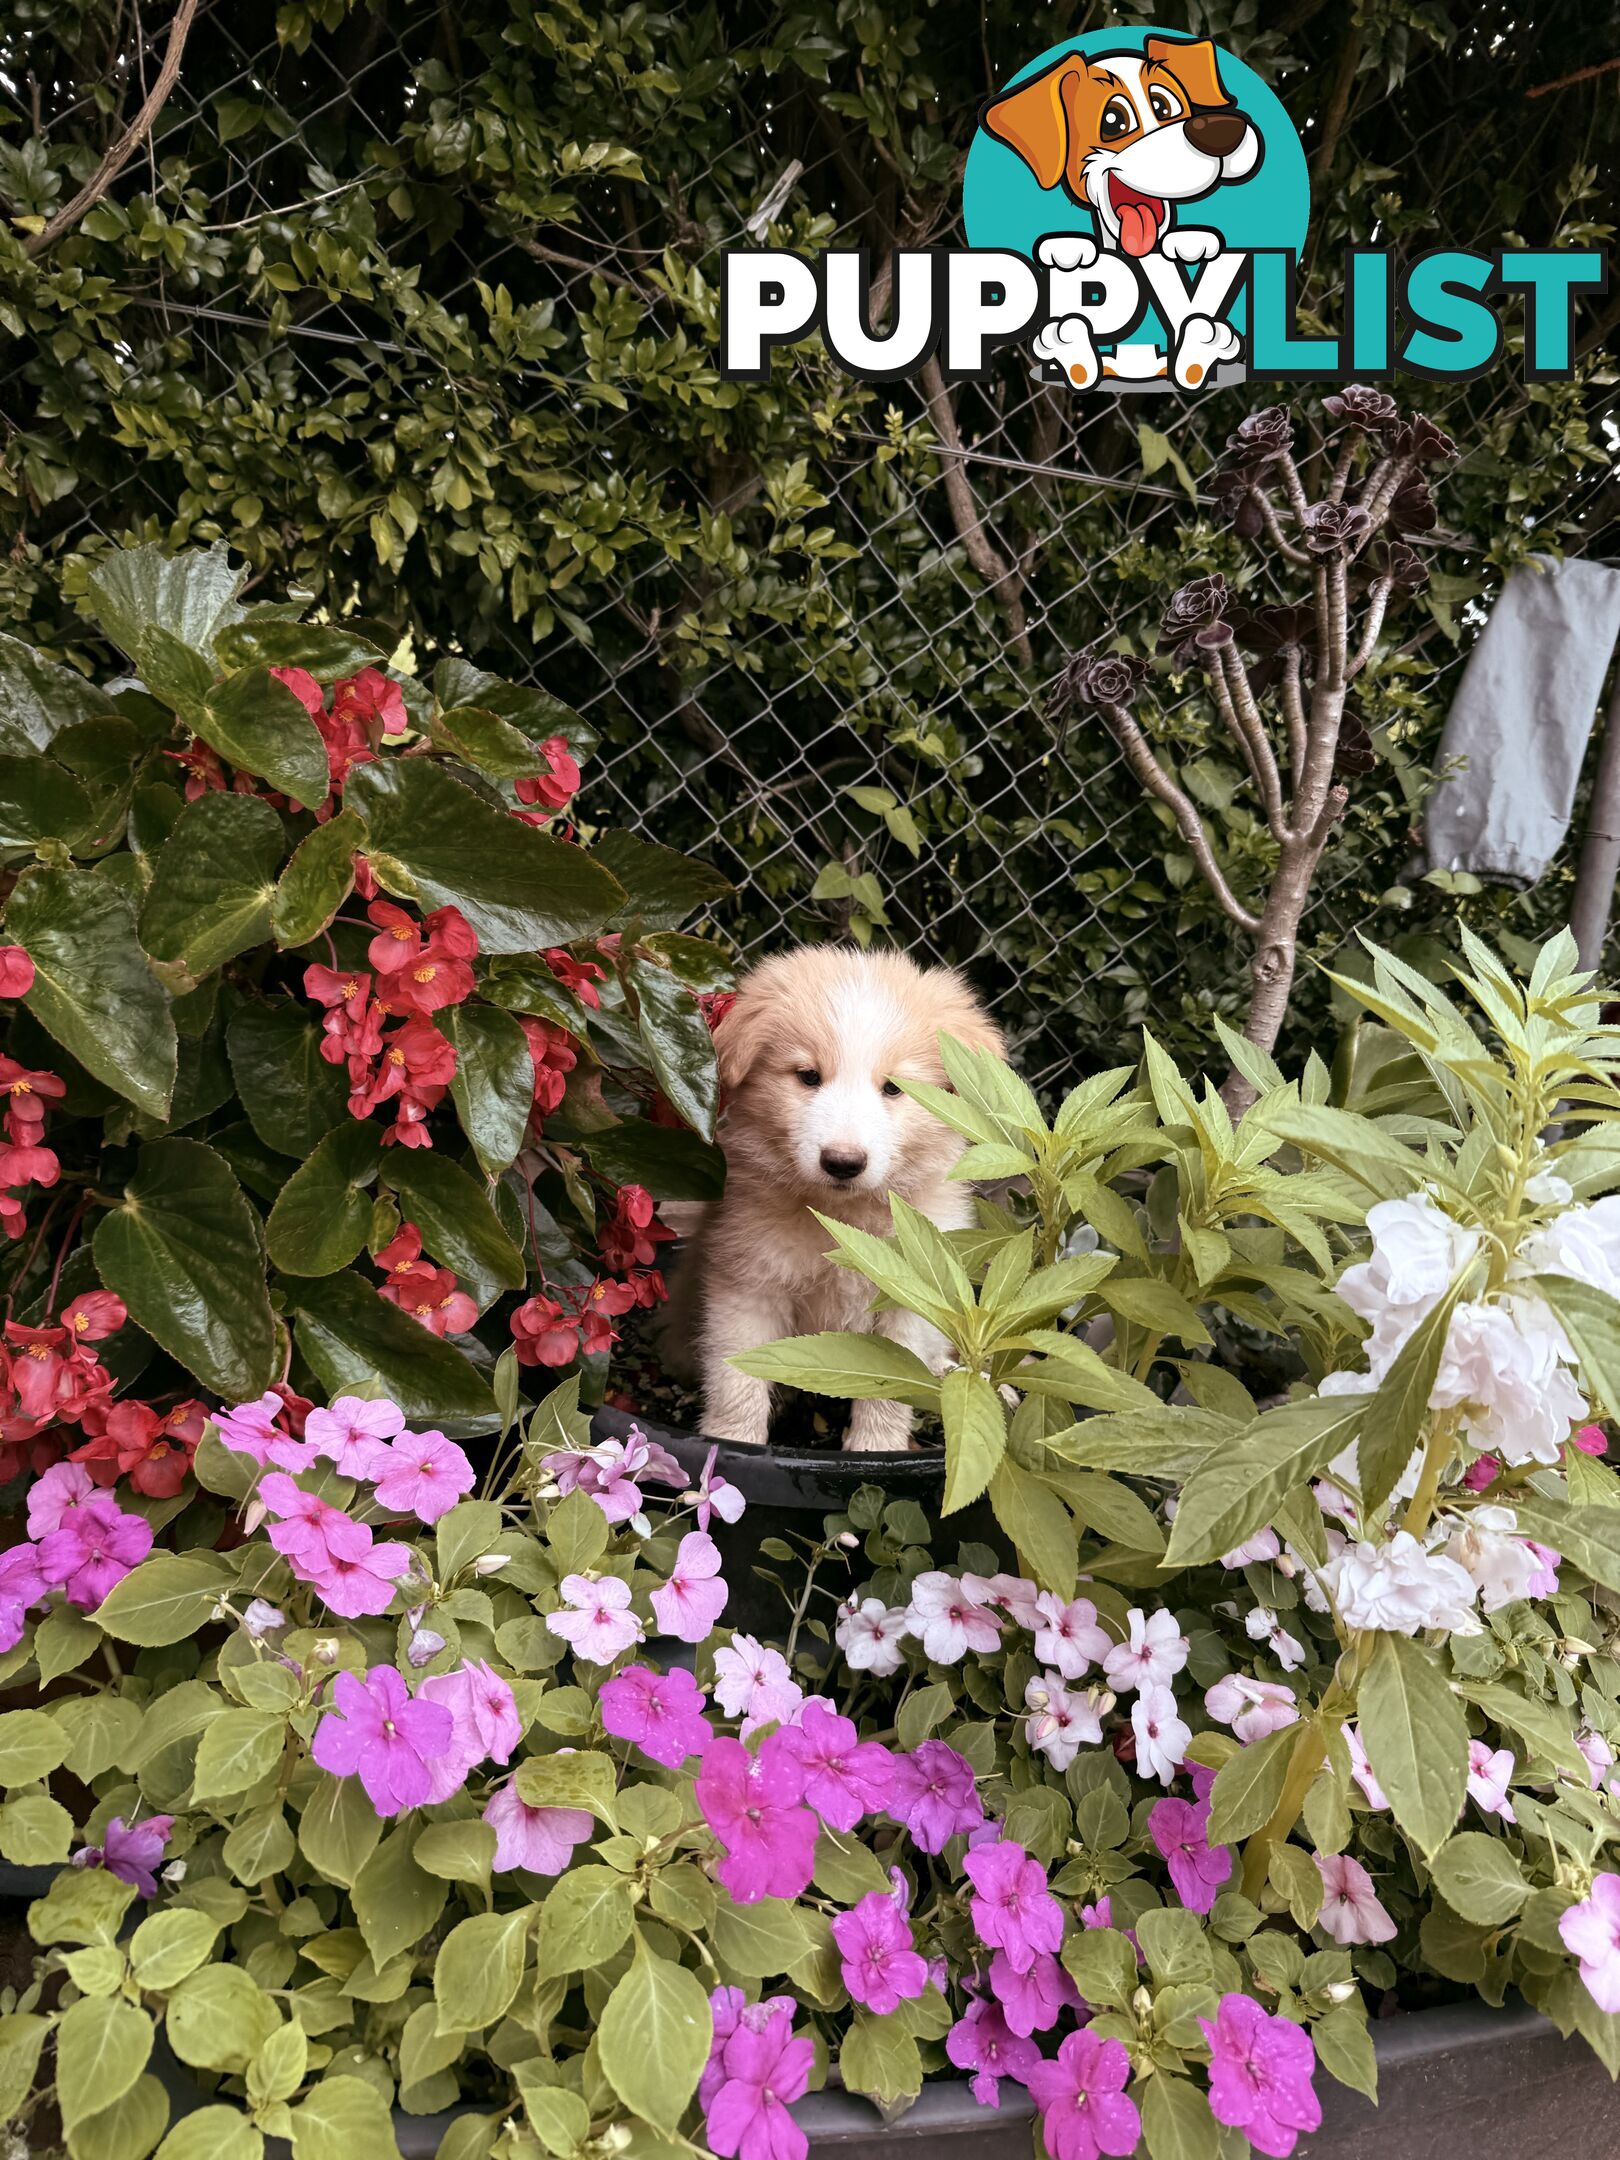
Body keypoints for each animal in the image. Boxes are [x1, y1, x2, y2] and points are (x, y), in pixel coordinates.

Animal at [682, 946, 1002, 1451]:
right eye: (809, 1076)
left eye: (894, 1088)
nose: (843, 1162)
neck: (841, 1220)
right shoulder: (748, 1284)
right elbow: (737, 1378)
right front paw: (731, 1447)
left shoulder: (910, 1301)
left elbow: (894, 1385)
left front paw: (876, 1449)